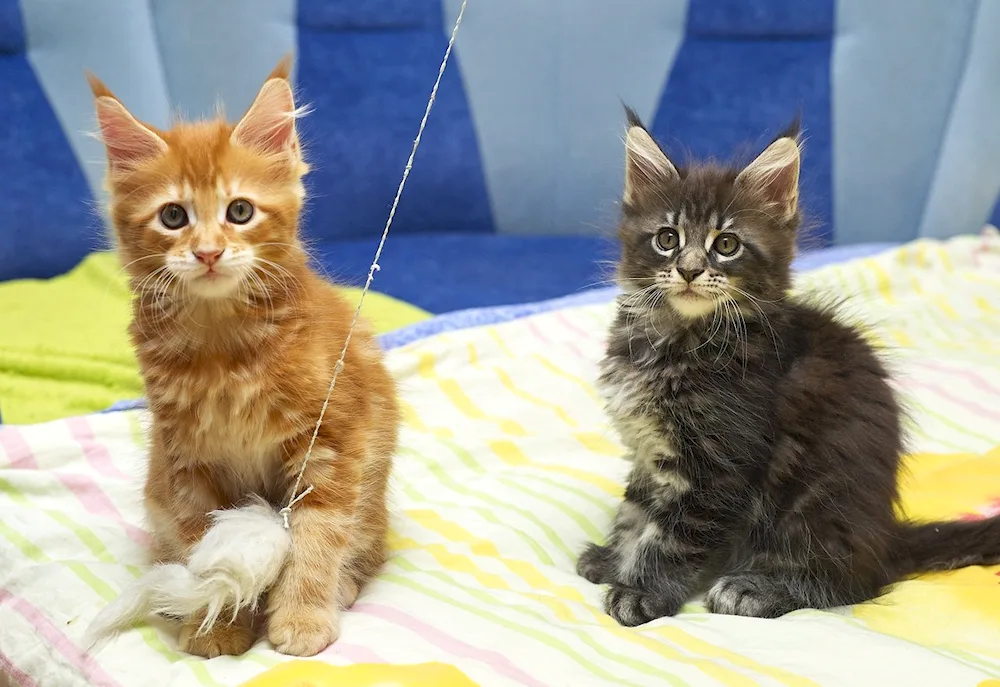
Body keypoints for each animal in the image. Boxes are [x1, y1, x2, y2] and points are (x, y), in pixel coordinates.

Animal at [87, 60, 398, 660]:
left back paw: (341, 589)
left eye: (239, 211)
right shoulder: (186, 460)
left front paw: (301, 618)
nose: (208, 252)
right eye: (173, 216)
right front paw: (220, 622)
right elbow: (202, 545)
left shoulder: (333, 439)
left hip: (373, 495)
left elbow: (317, 537)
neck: (223, 348)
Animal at [576, 109, 1000, 628]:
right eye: (667, 239)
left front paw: (641, 591)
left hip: (814, 505)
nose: (690, 270)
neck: (675, 339)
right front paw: (614, 559)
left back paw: (754, 589)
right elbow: (634, 515)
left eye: (727, 244)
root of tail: (886, 539)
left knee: (849, 583)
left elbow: (672, 538)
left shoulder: (717, 468)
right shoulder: (647, 453)